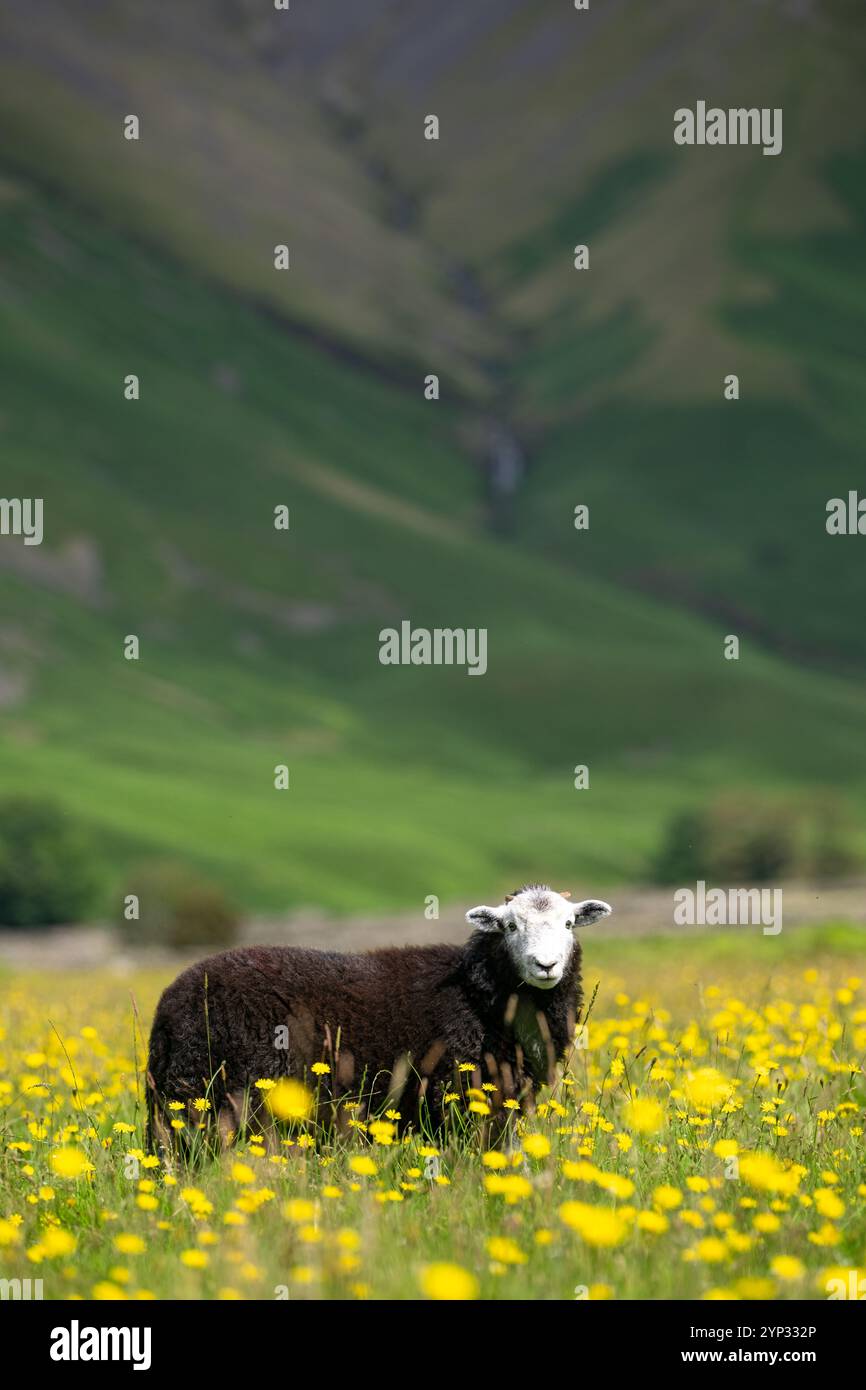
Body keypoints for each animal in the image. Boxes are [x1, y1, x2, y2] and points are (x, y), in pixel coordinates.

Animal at [147, 878, 608, 1150]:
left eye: (569, 924)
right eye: (511, 926)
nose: (545, 965)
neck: (479, 996)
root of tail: (171, 1002)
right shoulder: (457, 1096)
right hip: (218, 1095)